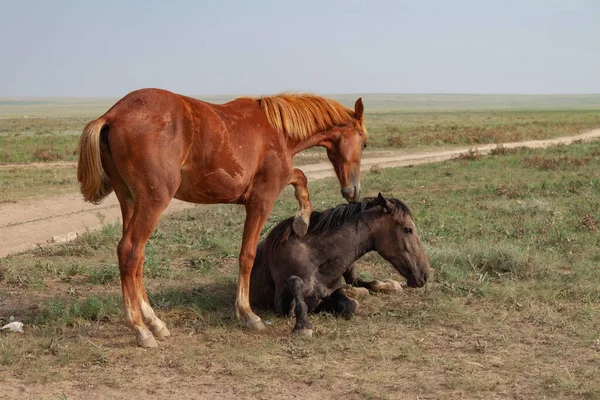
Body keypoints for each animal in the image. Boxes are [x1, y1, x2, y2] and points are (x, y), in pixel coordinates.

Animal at [77, 88, 368, 346]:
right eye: (364, 143)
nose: (352, 191)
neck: (277, 131)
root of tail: (112, 115)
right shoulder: (262, 199)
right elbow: (247, 255)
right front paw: (247, 314)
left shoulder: (278, 181)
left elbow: (300, 177)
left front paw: (303, 220)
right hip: (152, 202)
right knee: (130, 252)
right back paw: (141, 329)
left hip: (129, 201)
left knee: (136, 259)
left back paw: (154, 322)